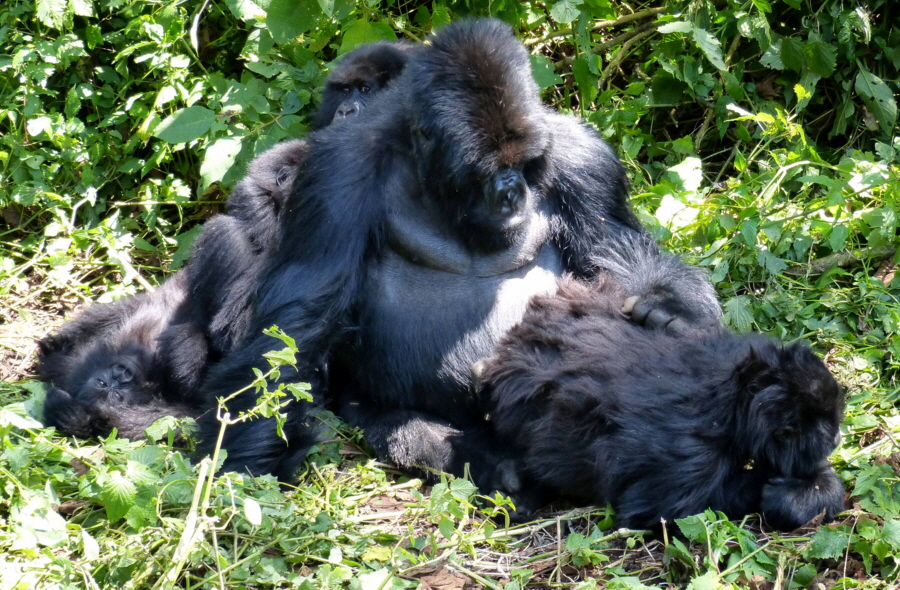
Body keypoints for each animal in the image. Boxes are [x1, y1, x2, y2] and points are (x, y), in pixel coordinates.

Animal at [195, 18, 724, 492]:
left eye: (523, 164)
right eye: (485, 171)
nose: (511, 194)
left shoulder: (582, 157)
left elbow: (614, 248)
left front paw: (668, 308)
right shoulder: (335, 171)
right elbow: (298, 319)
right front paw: (243, 460)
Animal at [474, 272, 848, 532]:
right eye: (826, 427)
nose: (837, 438)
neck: (737, 396)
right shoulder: (691, 458)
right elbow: (668, 510)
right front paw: (795, 495)